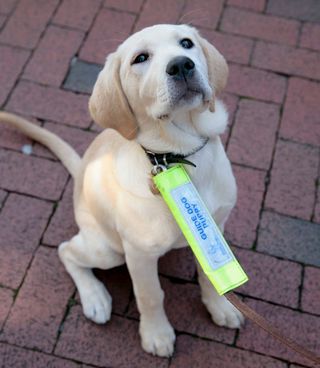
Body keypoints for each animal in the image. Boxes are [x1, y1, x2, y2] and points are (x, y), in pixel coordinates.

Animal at [0, 23, 242, 356]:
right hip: (107, 250)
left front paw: (220, 307)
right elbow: (150, 295)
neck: (179, 157)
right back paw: (95, 297)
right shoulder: (139, 253)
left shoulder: (216, 225)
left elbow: (211, 275)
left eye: (186, 43)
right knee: (66, 251)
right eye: (140, 58)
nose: (182, 65)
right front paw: (156, 334)